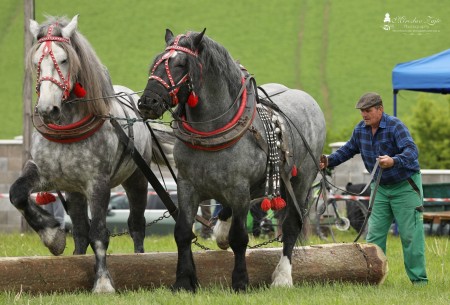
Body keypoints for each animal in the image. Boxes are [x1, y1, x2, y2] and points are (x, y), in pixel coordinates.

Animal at [9, 16, 174, 292]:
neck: (67, 129)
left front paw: (103, 283)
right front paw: (53, 236)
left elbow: (99, 232)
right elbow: (17, 194)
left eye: (64, 59)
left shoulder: (98, 183)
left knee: (136, 225)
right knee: (79, 230)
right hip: (74, 190)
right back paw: (77, 254)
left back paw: (140, 258)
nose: (47, 110)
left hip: (137, 178)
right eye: (36, 62)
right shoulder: (44, 173)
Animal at [139, 29, 326, 290]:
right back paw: (221, 233)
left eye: (181, 64)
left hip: (301, 180)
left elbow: (240, 238)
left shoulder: (239, 188)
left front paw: (240, 281)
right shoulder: (187, 186)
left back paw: (282, 276)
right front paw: (184, 280)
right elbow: (183, 232)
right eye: (156, 62)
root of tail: (308, 99)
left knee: (291, 226)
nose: (148, 102)